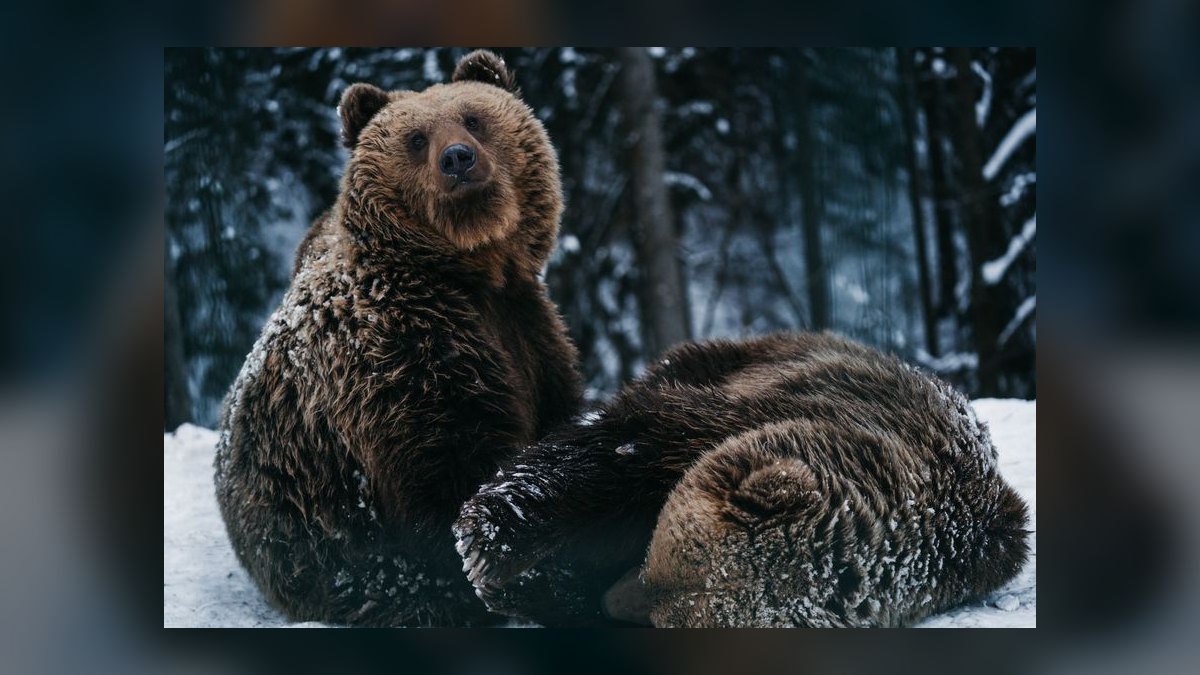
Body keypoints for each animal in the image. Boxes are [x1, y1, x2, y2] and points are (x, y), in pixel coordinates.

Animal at [214, 50, 587, 626]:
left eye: (474, 118)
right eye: (416, 138)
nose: (457, 158)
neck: (472, 271)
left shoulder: (527, 326)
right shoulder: (400, 352)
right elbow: (449, 465)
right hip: (324, 552)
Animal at [453, 332, 1030, 627]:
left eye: (666, 613)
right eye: (656, 561)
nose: (612, 604)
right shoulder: (780, 407)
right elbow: (628, 448)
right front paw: (491, 539)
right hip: (737, 357)